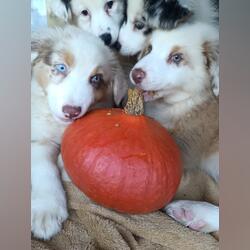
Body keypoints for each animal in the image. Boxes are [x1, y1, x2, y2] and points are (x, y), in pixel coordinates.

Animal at [31, 25, 128, 240]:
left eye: (96, 78)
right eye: (61, 68)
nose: (72, 111)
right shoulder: (39, 139)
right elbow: (45, 169)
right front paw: (46, 212)